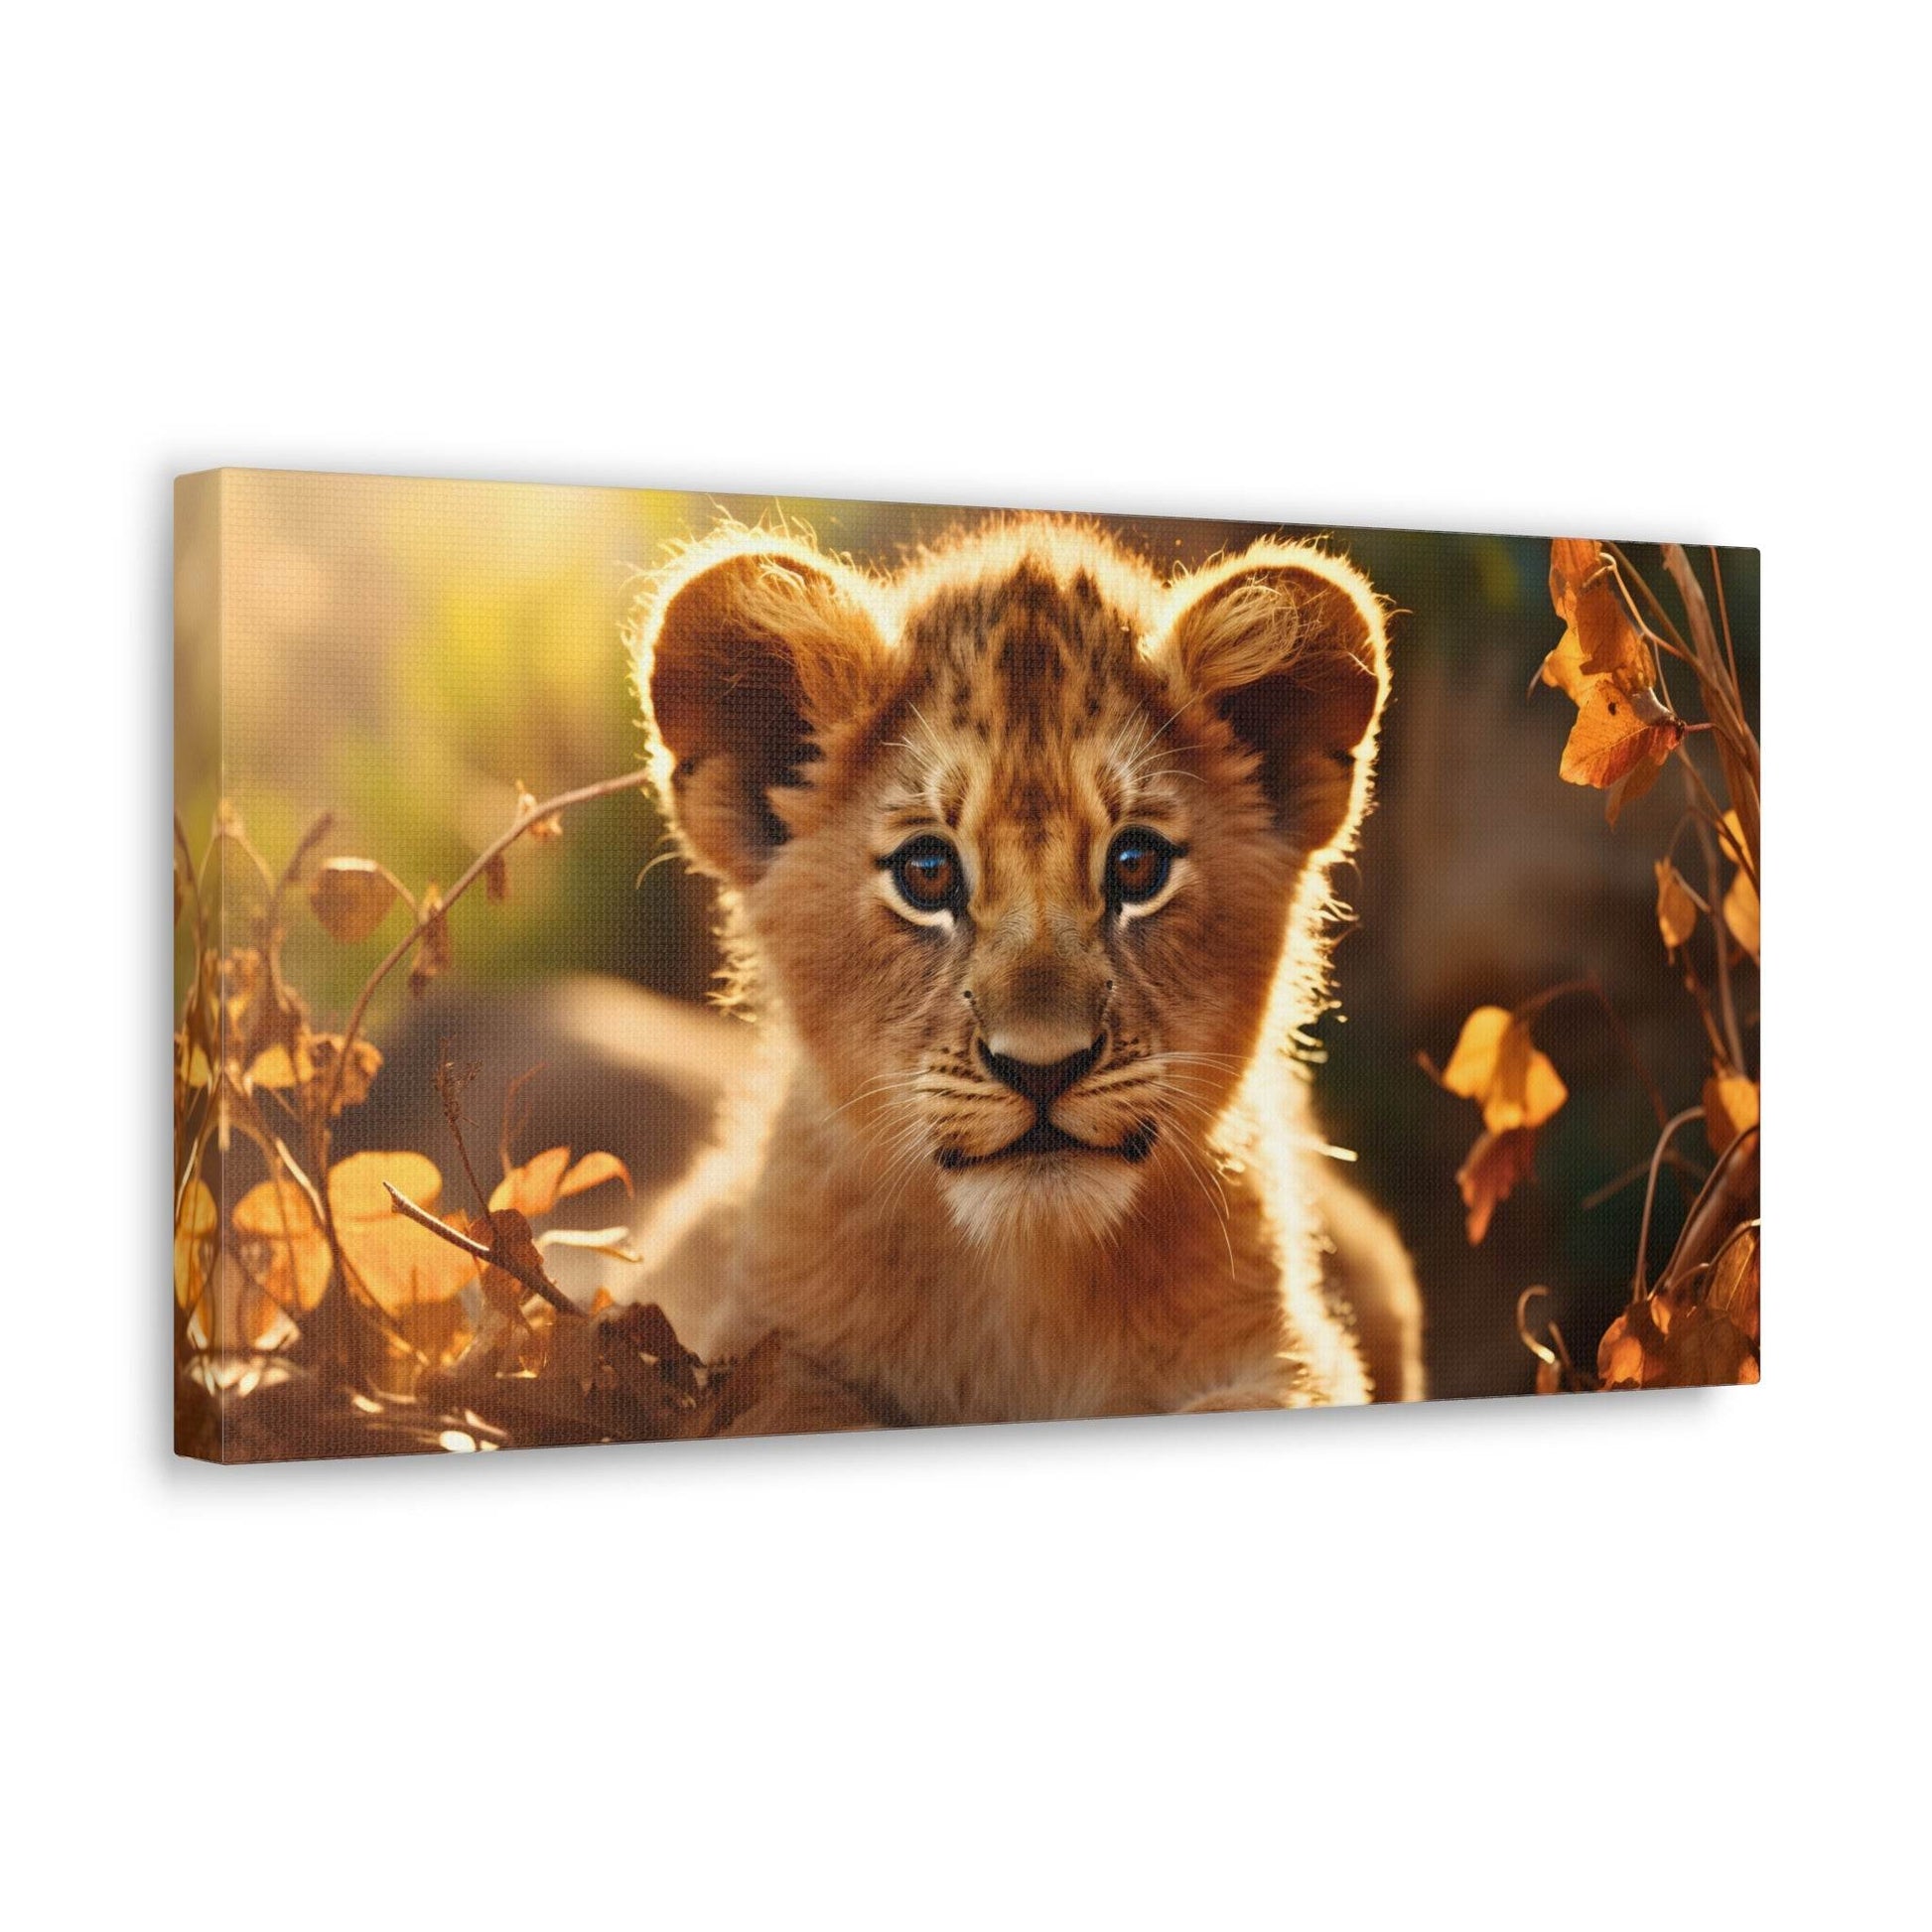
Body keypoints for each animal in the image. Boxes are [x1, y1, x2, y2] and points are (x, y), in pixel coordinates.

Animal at [627, 514, 1424, 1436]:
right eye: (927, 871)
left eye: (1137, 865)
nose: (1043, 1067)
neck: (1029, 1289)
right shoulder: (744, 1350)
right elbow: (803, 1405)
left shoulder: (1292, 1353)